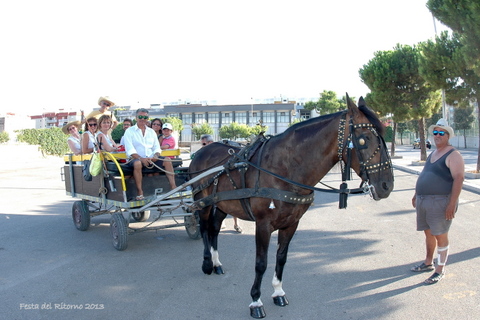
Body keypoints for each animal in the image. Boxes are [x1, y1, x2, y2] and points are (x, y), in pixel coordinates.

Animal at [188, 96, 394, 318]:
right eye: (364, 140)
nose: (387, 185)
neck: (285, 167)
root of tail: (202, 151)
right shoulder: (263, 225)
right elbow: (261, 263)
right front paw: (255, 301)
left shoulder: (291, 224)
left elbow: (281, 258)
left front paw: (278, 292)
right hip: (202, 201)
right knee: (205, 228)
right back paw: (207, 263)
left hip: (223, 204)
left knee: (215, 228)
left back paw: (216, 263)